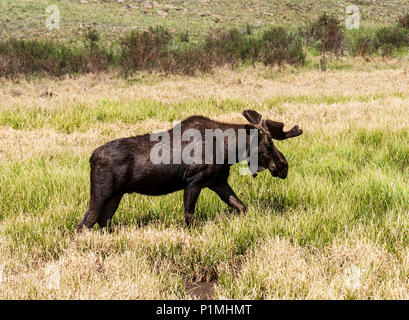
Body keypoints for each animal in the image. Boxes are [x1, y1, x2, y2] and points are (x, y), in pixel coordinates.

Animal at [75, 109, 302, 231]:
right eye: (269, 145)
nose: (284, 167)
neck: (230, 151)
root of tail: (91, 158)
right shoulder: (194, 181)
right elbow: (189, 217)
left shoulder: (218, 182)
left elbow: (241, 207)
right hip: (100, 194)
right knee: (84, 225)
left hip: (115, 195)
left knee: (103, 221)